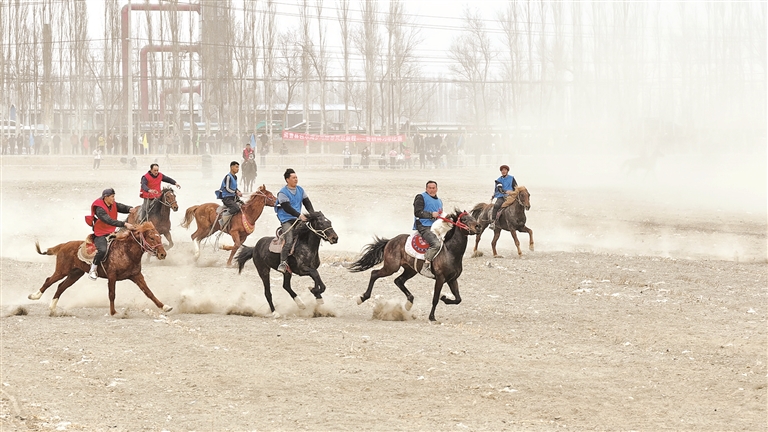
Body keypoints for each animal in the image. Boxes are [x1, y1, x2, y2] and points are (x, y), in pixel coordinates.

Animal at [27, 222, 172, 316]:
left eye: (159, 236)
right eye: (152, 237)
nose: (162, 254)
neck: (126, 251)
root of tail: (63, 245)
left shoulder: (136, 276)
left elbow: (149, 292)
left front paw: (165, 307)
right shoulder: (112, 276)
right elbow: (112, 294)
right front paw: (114, 312)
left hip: (75, 274)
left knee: (61, 286)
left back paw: (52, 308)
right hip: (62, 271)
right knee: (49, 281)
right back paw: (34, 296)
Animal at [348, 209, 480, 322]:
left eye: (473, 217)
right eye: (464, 219)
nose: (478, 227)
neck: (450, 252)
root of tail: (391, 241)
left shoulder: (452, 279)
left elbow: (458, 299)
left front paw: (445, 299)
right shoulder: (440, 278)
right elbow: (435, 299)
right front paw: (432, 317)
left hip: (411, 270)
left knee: (398, 281)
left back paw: (409, 303)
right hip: (391, 267)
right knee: (374, 274)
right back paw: (362, 298)